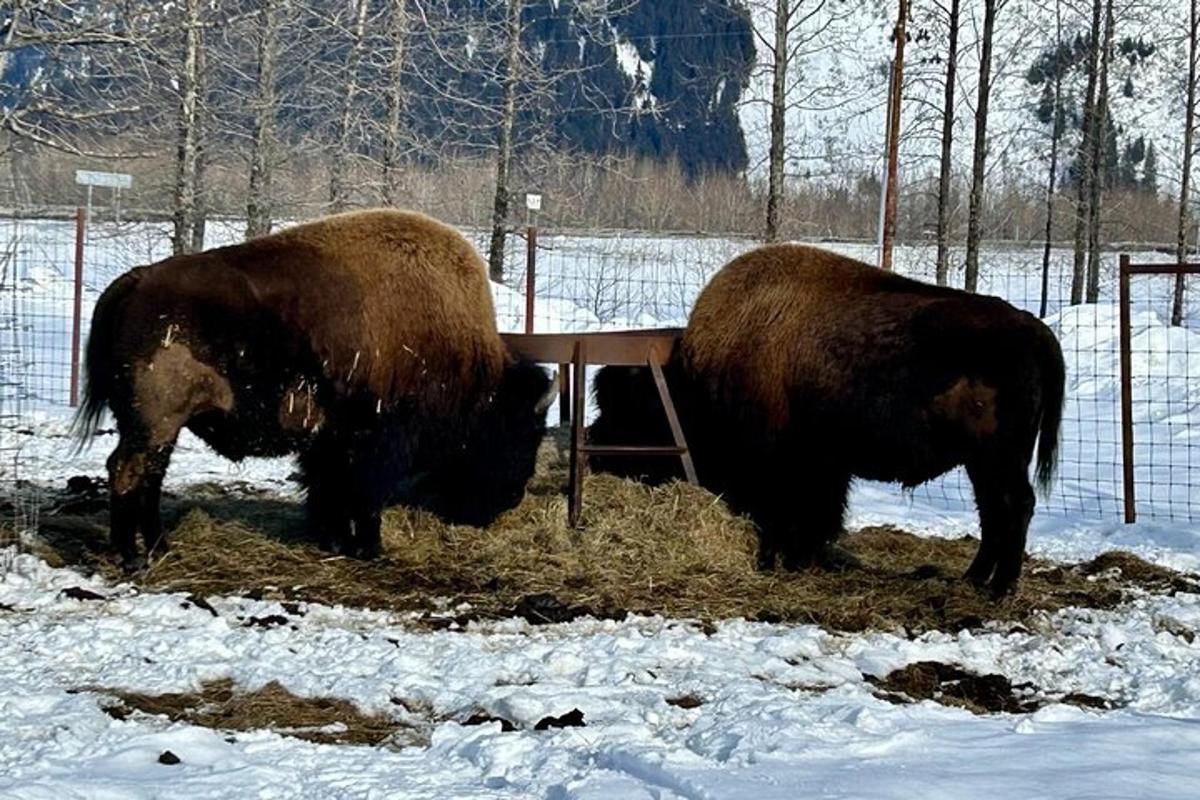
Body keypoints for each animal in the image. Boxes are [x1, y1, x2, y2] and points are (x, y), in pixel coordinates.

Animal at [77, 209, 554, 566]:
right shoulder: (374, 442)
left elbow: (327, 491)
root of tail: (137, 281)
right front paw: (370, 548)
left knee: (149, 477)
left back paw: (159, 547)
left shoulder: (329, 440)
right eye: (522, 432)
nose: (511, 499)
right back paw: (133, 557)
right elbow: (361, 495)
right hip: (155, 422)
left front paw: (334, 540)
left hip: (159, 426)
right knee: (129, 471)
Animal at [585, 244, 1065, 594]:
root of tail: (1035, 330)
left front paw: (781, 561)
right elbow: (821, 513)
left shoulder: (787, 466)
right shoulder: (826, 465)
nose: (594, 451)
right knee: (993, 513)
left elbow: (794, 513)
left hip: (998, 458)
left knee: (1014, 507)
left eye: (628, 410)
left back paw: (1000, 589)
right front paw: (802, 561)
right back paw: (974, 579)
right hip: (981, 461)